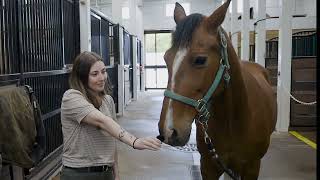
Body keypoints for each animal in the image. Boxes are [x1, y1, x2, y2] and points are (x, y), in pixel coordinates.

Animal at [158, 0, 278, 179]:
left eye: (200, 60)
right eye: (166, 58)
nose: (168, 130)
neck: (234, 121)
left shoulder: (252, 167)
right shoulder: (208, 166)